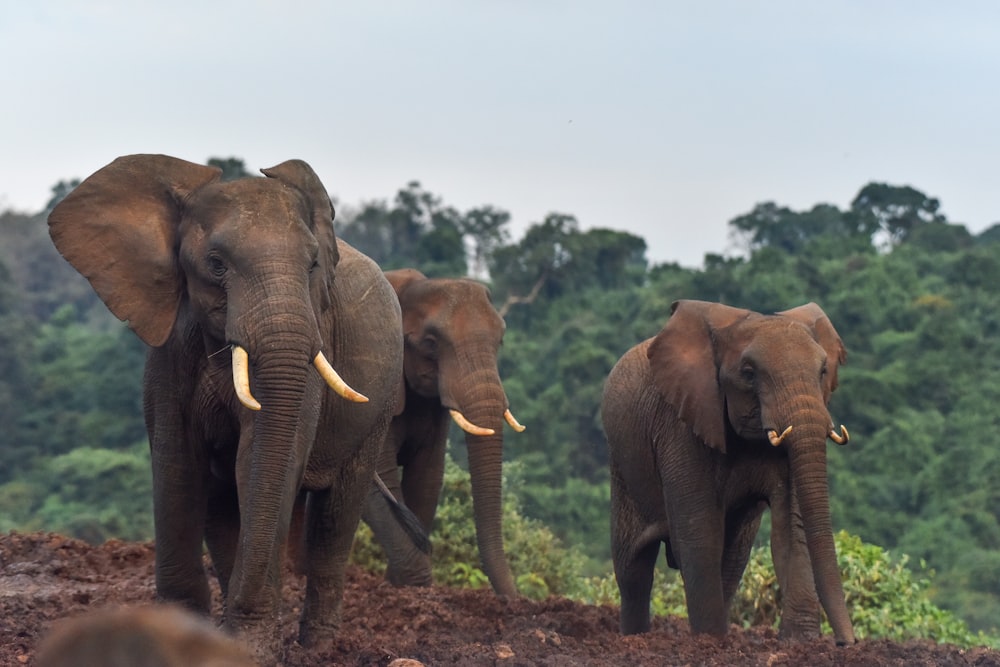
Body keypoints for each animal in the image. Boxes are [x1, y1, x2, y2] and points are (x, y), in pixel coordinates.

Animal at [47, 154, 406, 660]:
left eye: (313, 264)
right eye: (216, 265)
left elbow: (262, 459)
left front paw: (253, 647)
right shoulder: (171, 352)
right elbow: (178, 463)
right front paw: (182, 629)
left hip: (378, 403)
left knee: (337, 513)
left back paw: (318, 647)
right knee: (222, 508)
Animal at [362, 268, 532, 596]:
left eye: (501, 341)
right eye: (430, 343)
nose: (517, 598)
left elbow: (427, 479)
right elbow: (382, 476)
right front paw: (415, 588)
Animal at [596, 300, 856, 644]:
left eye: (823, 371)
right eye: (749, 373)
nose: (846, 641)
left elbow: (790, 528)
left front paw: (801, 643)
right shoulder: (680, 425)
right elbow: (700, 530)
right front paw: (710, 642)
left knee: (732, 558)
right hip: (622, 468)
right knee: (633, 569)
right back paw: (636, 638)